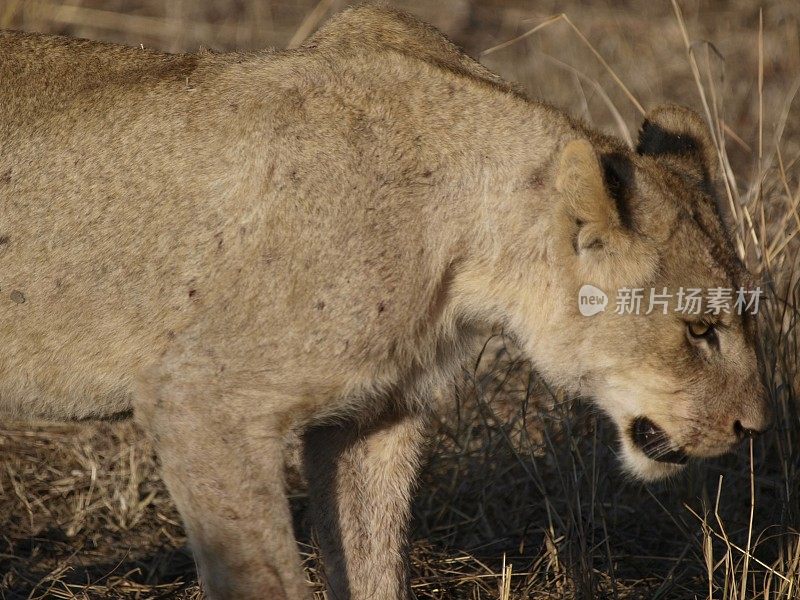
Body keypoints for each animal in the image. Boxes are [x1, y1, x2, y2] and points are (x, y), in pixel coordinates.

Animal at [1, 4, 768, 600]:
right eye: (700, 329)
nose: (752, 429)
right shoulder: (199, 401)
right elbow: (265, 577)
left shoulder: (372, 416)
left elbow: (370, 563)